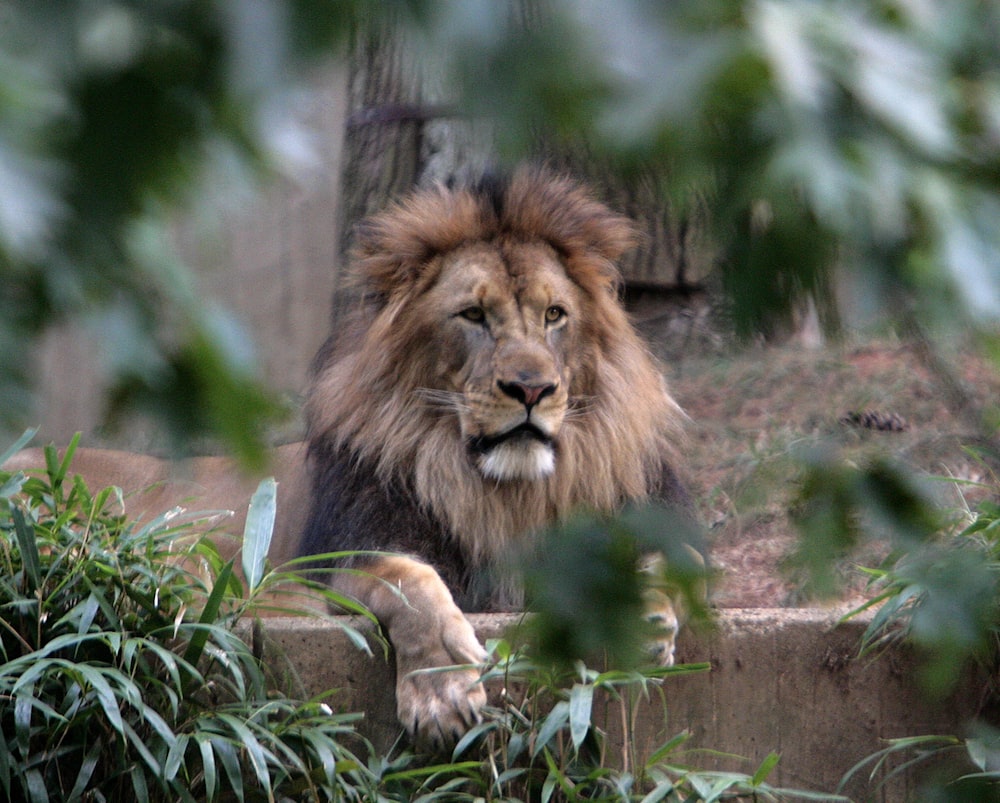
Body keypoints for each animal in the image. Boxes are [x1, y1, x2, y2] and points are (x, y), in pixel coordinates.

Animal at [300, 166, 700, 752]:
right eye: (473, 314)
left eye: (554, 315)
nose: (531, 389)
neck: (511, 492)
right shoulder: (335, 557)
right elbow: (410, 582)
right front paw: (442, 694)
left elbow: (670, 560)